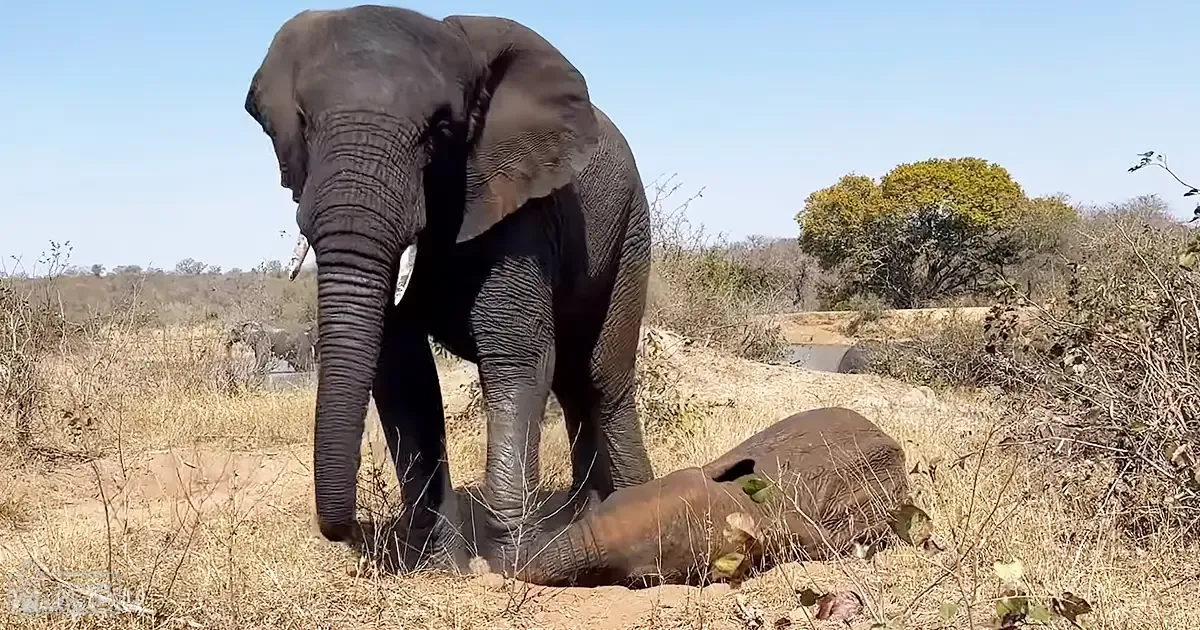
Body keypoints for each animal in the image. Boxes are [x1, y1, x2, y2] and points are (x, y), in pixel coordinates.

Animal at [243, 5, 655, 570]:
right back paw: (585, 515)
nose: (347, 533)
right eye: (303, 124)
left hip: (631, 228)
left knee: (602, 375)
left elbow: (515, 353)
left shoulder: (519, 202)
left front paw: (511, 565)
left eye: (439, 130)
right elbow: (402, 369)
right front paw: (439, 564)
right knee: (574, 382)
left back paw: (629, 506)